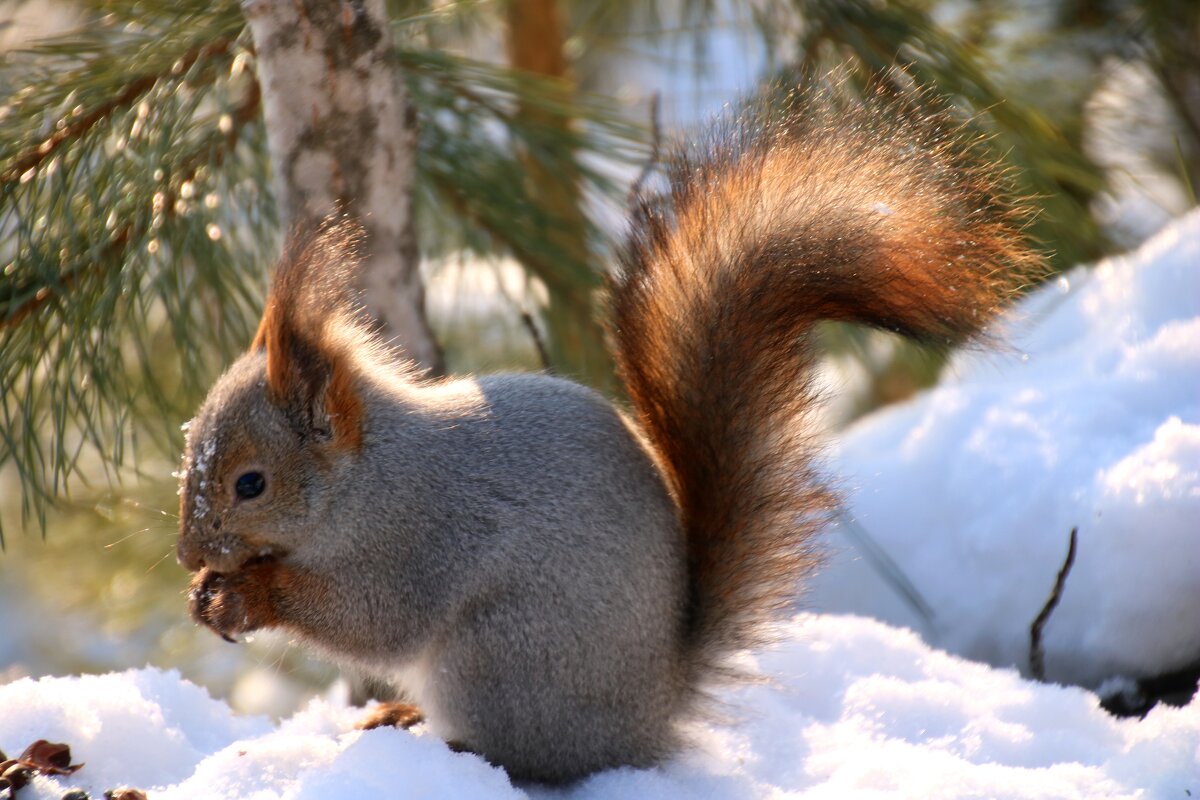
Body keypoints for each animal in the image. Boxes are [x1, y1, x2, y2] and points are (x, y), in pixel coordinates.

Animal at [174, 79, 1036, 782]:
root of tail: (654, 713)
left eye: (250, 483)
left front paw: (247, 596)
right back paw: (403, 713)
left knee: (529, 757)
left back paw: (452, 744)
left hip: (501, 656)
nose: (187, 553)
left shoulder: (418, 536)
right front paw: (206, 593)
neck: (365, 477)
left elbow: (373, 620)